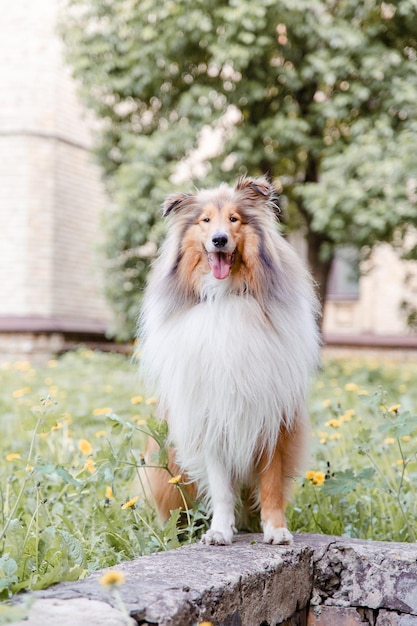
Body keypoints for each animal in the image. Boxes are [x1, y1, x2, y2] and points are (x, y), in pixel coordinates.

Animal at [138, 174, 320, 540]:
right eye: (205, 220)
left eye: (234, 219)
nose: (219, 239)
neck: (226, 298)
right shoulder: (212, 417)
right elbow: (221, 489)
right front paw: (220, 532)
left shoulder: (272, 418)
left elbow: (271, 484)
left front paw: (276, 530)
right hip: (169, 468)